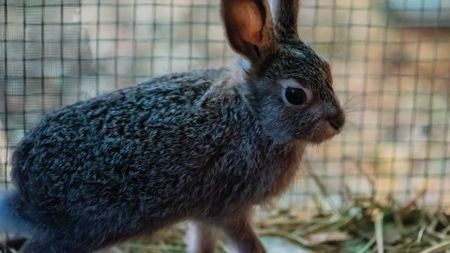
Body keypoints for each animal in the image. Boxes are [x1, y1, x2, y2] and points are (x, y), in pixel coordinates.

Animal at [0, 0, 344, 253]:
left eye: (328, 71)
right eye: (295, 95)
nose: (338, 122)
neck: (253, 117)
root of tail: (23, 177)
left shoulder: (203, 215)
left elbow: (202, 244)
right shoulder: (229, 210)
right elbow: (249, 245)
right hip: (81, 231)